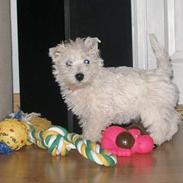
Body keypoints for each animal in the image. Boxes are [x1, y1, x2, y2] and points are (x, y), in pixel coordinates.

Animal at [49, 35, 182, 145]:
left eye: (87, 61)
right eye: (68, 63)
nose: (79, 76)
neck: (87, 84)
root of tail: (162, 73)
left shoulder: (98, 112)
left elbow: (93, 127)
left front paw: (90, 140)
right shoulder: (86, 114)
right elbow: (87, 126)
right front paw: (86, 137)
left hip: (153, 109)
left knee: (161, 125)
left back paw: (157, 139)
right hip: (164, 106)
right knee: (173, 119)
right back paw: (168, 135)